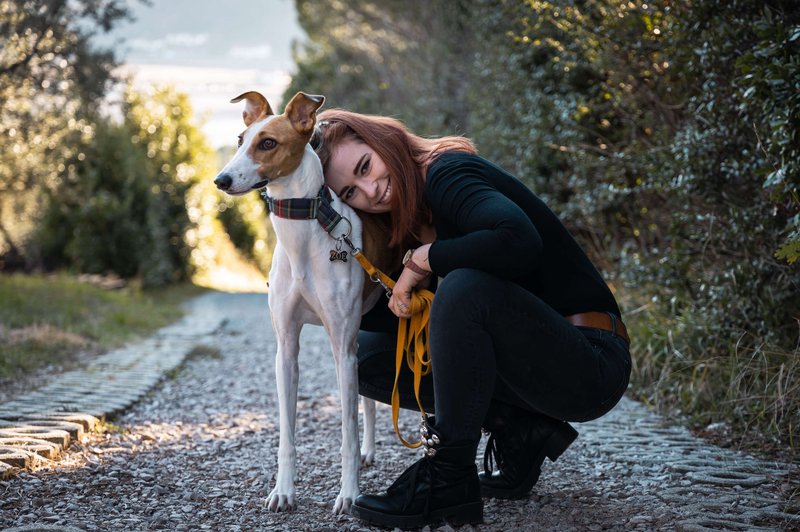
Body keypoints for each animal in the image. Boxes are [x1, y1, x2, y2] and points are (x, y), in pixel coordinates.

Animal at [211, 92, 390, 516]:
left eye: (268, 143)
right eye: (240, 138)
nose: (220, 180)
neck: (305, 235)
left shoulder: (341, 347)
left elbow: (345, 435)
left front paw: (348, 496)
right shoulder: (287, 348)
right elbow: (287, 437)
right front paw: (283, 491)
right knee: (368, 401)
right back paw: (369, 452)